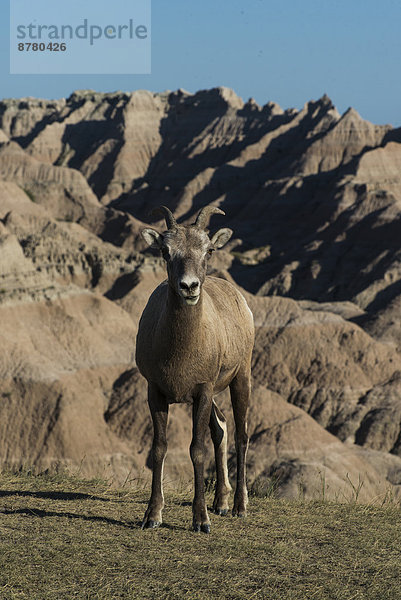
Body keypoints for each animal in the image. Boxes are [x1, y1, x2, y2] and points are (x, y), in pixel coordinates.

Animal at [135, 206, 253, 536]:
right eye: (165, 251)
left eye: (208, 250)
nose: (189, 287)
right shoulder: (157, 393)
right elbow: (159, 448)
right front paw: (152, 516)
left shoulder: (201, 391)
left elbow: (197, 449)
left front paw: (201, 520)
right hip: (213, 395)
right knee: (221, 427)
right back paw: (221, 503)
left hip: (241, 379)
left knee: (241, 434)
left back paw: (238, 507)